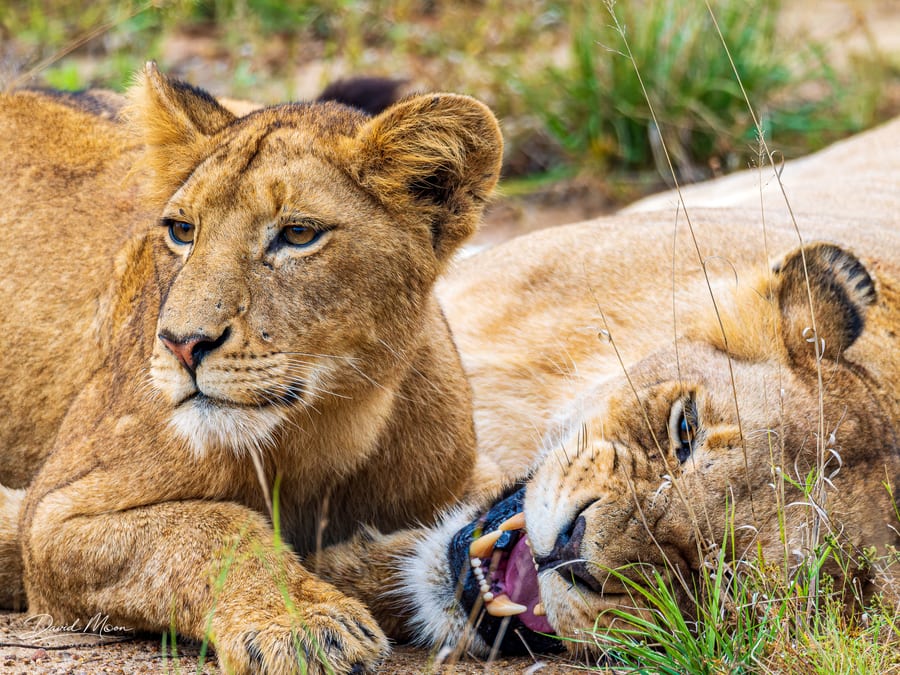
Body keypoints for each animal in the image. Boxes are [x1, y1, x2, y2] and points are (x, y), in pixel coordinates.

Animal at [0, 63, 502, 674]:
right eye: (182, 230)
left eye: (299, 234)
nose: (182, 344)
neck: (330, 430)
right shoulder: (52, 518)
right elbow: (211, 526)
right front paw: (306, 624)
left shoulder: (472, 478)